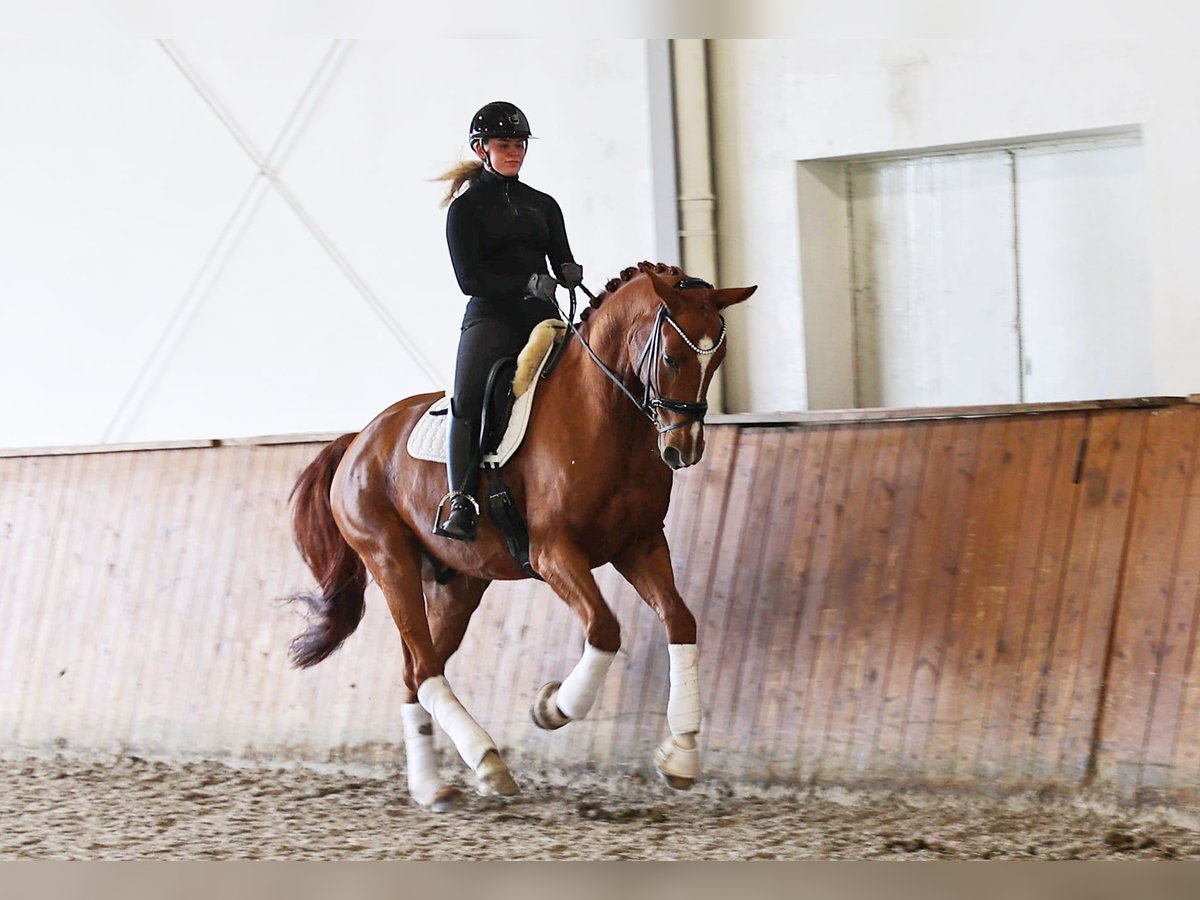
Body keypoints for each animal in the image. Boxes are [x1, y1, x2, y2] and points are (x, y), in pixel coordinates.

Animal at [285, 260, 753, 811]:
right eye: (673, 357)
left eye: (717, 358)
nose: (685, 449)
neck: (602, 413)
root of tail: (359, 439)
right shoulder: (553, 553)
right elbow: (604, 628)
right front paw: (553, 708)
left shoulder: (639, 545)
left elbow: (680, 621)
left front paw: (680, 754)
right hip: (389, 561)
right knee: (423, 668)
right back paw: (485, 761)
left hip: (458, 584)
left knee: (415, 672)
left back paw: (435, 785)